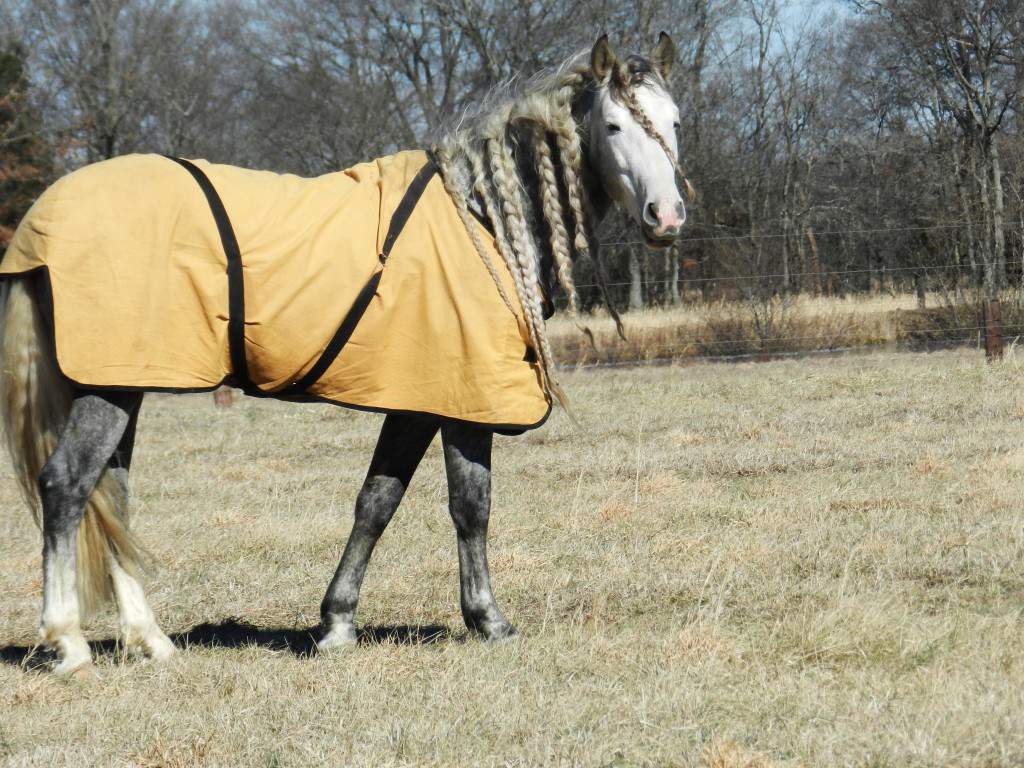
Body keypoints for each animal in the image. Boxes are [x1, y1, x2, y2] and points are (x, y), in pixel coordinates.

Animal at [0, 33, 687, 677]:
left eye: (675, 120)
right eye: (613, 126)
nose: (668, 216)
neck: (482, 219)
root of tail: (43, 219)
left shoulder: (420, 400)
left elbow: (377, 501)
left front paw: (336, 623)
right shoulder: (462, 401)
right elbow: (469, 505)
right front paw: (487, 620)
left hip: (128, 380)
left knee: (110, 494)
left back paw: (152, 640)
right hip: (109, 386)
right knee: (67, 485)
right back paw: (68, 642)